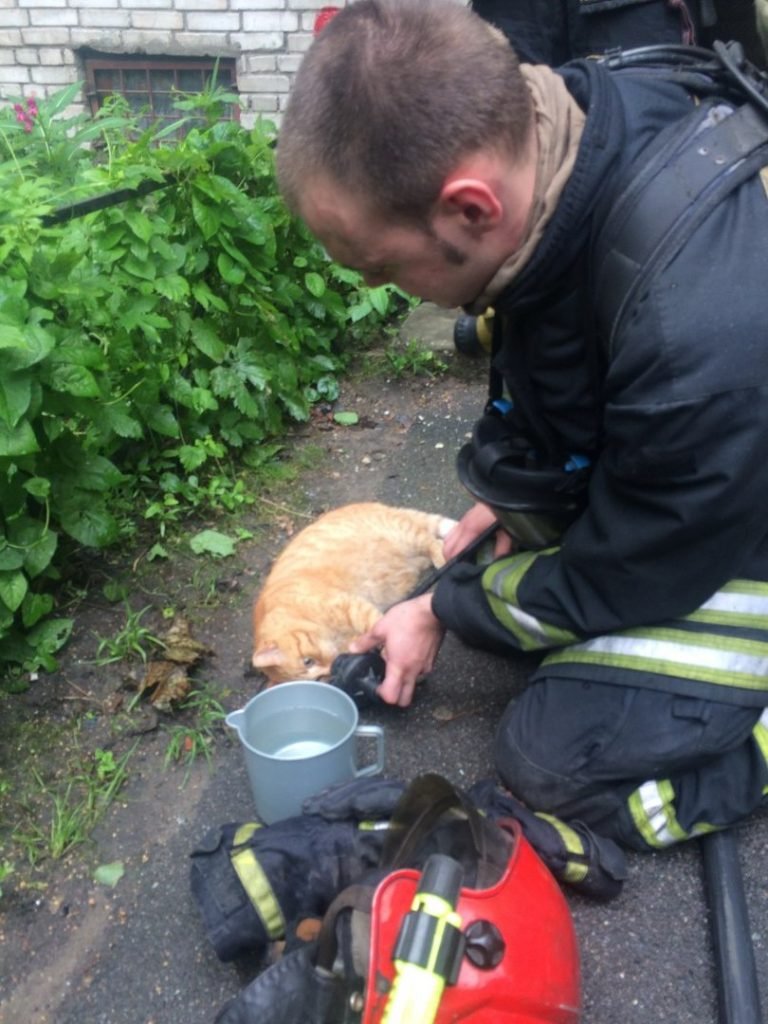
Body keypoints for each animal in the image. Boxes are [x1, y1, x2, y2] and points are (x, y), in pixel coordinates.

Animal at [252, 499, 456, 684]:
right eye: (319, 679)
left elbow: (377, 625)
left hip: (404, 533)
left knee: (432, 541)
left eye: (307, 661)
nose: (331, 668)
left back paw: (442, 558)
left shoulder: (348, 606)